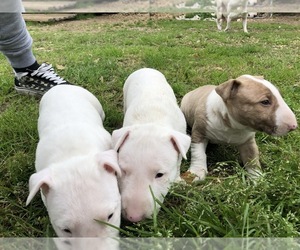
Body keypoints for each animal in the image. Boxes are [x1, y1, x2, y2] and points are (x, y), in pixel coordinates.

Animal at [111, 67, 191, 222]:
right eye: (123, 171)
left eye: (160, 175)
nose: (133, 217)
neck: (152, 120)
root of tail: (145, 68)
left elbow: (178, 163)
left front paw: (178, 181)